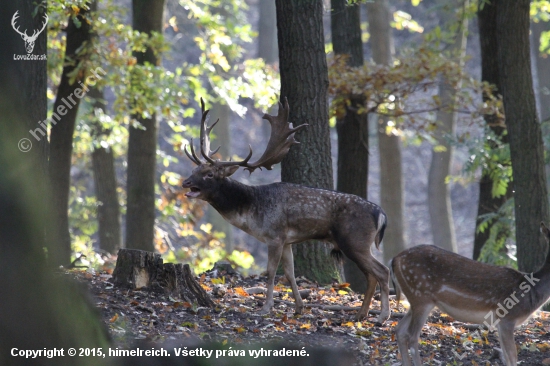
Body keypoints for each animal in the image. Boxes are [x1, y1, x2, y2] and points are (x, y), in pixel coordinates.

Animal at [183, 98, 390, 324]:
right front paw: (299, 307)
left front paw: (266, 307)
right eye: (194, 170)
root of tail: (381, 214)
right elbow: (290, 273)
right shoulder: (287, 240)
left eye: (209, 174)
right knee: (372, 274)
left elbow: (271, 272)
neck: (251, 212)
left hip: (354, 240)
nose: (186, 182)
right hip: (359, 244)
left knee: (382, 271)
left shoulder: (274, 235)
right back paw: (361, 314)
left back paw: (382, 316)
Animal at [390, 223, 550, 366]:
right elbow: (512, 358)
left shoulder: (500, 323)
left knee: (400, 329)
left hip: (416, 300)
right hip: (421, 296)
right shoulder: (507, 318)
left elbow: (506, 356)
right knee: (412, 336)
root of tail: (394, 259)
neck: (532, 294)